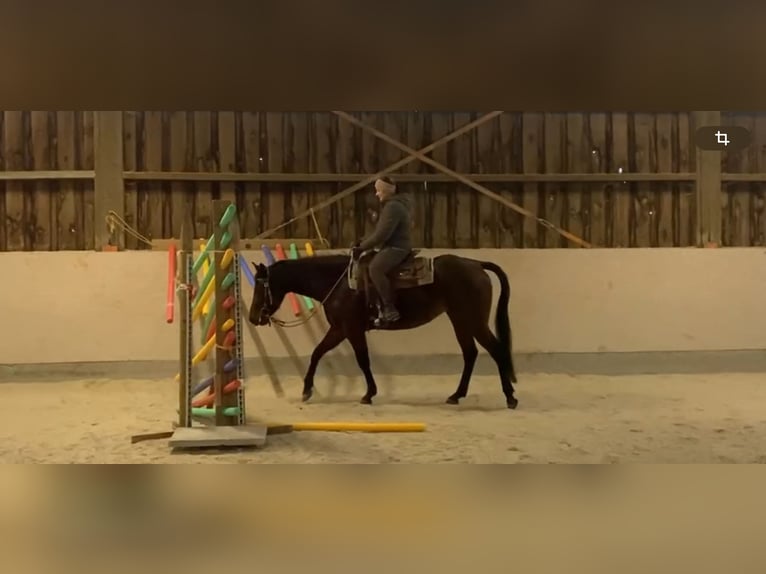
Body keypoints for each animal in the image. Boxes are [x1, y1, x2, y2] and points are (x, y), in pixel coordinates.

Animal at [247, 248, 519, 409]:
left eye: (261, 286)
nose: (252, 317)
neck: (338, 283)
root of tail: (476, 264)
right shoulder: (339, 329)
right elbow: (317, 353)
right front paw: (306, 390)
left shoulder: (352, 329)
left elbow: (362, 360)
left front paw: (368, 394)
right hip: (460, 320)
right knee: (470, 353)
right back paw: (456, 395)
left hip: (473, 320)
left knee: (495, 350)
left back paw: (510, 397)